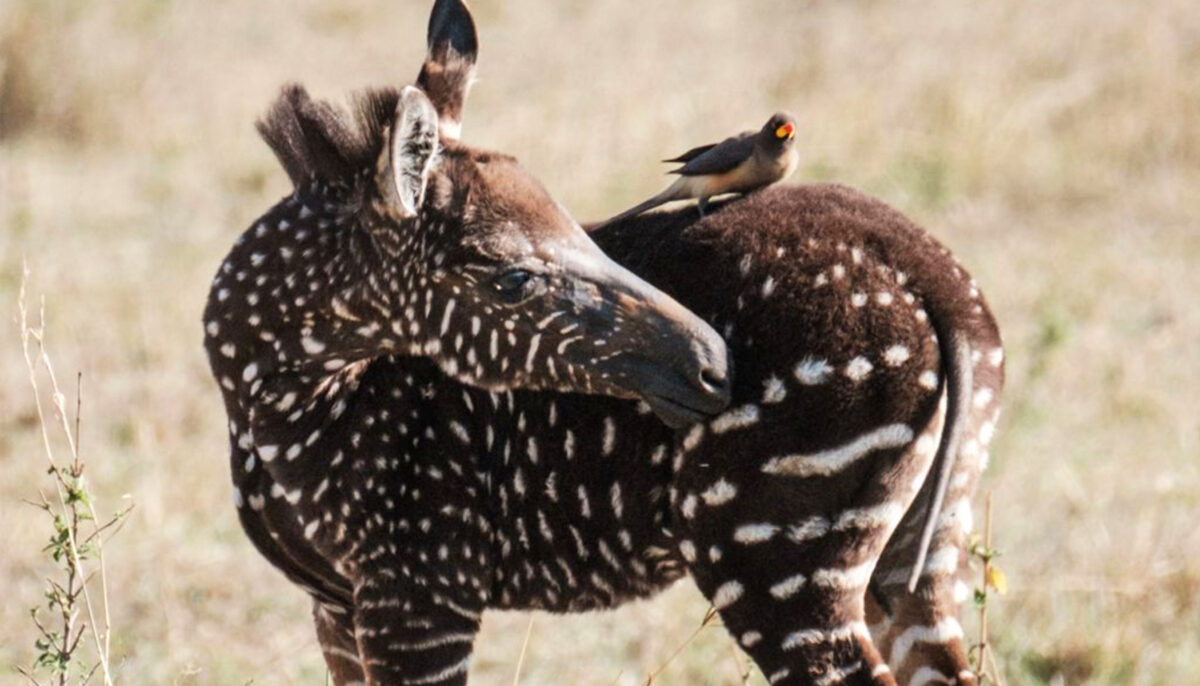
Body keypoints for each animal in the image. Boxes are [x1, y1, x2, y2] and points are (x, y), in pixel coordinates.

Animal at [203, 1, 1004, 685]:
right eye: (513, 279)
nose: (716, 366)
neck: (282, 402)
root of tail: (925, 270)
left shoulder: (421, 590)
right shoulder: (338, 607)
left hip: (774, 553)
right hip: (920, 542)